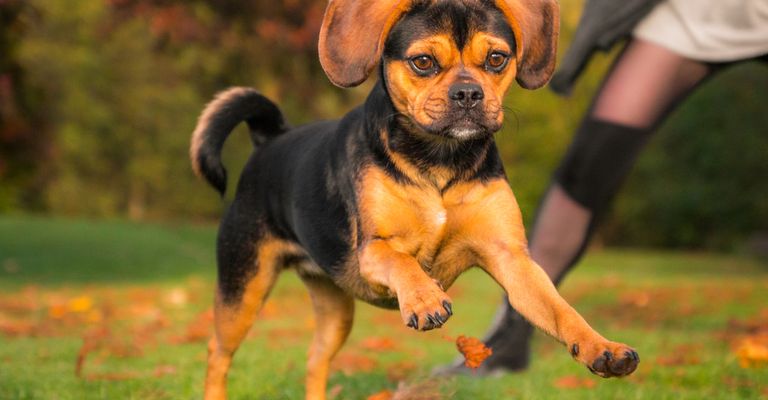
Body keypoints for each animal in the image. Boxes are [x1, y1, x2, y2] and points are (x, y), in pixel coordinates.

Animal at [189, 1, 640, 398]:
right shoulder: (373, 251)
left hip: (334, 309)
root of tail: (270, 139)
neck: (438, 161)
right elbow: (403, 262)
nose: (468, 94)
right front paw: (424, 299)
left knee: (315, 361)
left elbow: (562, 310)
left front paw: (602, 347)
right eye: (423, 62)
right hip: (243, 289)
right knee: (217, 354)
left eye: (497, 59)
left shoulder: (511, 259)